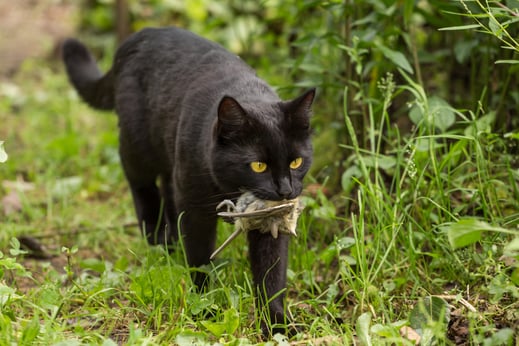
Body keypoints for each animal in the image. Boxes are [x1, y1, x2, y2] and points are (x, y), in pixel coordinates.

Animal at [61, 27, 312, 336]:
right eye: (258, 165)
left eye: (296, 162)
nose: (285, 189)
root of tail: (140, 36)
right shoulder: (195, 207)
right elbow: (200, 257)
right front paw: (205, 304)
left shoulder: (268, 220)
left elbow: (271, 272)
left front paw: (276, 323)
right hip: (138, 145)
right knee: (140, 182)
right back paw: (158, 238)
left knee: (168, 187)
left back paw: (171, 239)